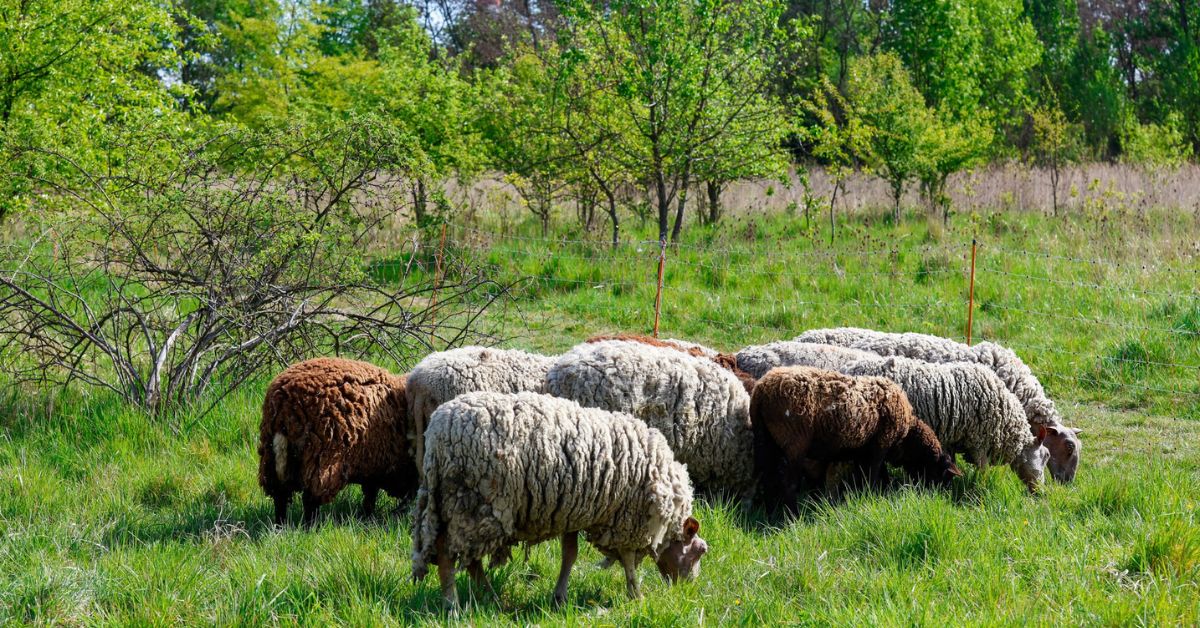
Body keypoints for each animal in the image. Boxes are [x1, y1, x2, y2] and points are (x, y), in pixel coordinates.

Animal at [257, 357, 414, 526]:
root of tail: (284, 407)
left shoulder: (373, 464)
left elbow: (370, 495)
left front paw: (367, 517)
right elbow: (371, 494)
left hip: (270, 457)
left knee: (279, 496)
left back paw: (279, 525)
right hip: (321, 459)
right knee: (310, 499)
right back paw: (310, 527)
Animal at [410, 391, 707, 610]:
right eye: (699, 551)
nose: (687, 589)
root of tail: (436, 432)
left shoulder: (573, 511)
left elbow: (570, 555)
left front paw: (560, 597)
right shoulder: (626, 519)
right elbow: (628, 561)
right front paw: (637, 595)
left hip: (466, 509)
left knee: (471, 560)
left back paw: (490, 597)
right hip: (472, 503)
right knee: (449, 556)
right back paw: (453, 605)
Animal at [751, 366, 961, 508]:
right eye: (942, 475)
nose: (937, 497)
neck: (906, 438)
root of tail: (761, 390)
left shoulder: (863, 451)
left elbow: (872, 477)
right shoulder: (880, 446)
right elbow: (873, 477)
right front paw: (871, 497)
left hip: (765, 441)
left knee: (768, 479)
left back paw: (771, 515)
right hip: (794, 443)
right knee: (789, 484)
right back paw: (792, 518)